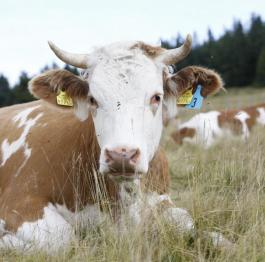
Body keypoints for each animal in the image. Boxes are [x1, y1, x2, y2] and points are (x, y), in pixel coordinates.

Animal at [0, 36, 227, 252]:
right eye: (92, 100)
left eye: (156, 97)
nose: (121, 155)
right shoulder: (19, 203)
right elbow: (60, 239)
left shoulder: (160, 201)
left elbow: (190, 224)